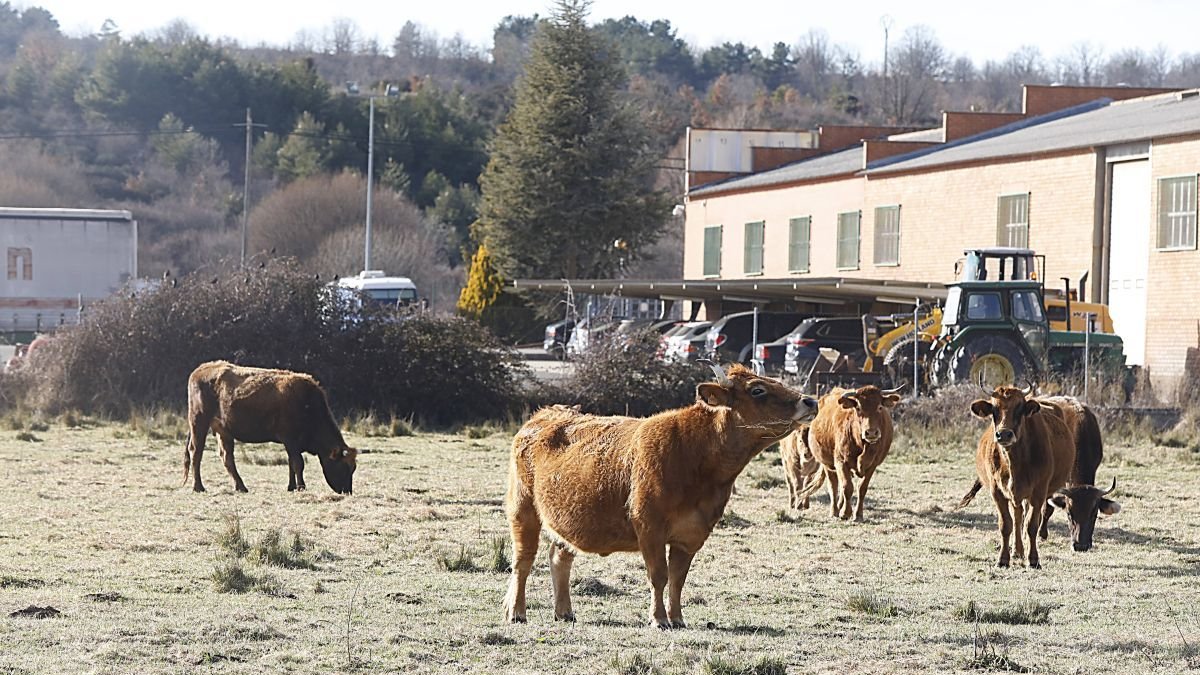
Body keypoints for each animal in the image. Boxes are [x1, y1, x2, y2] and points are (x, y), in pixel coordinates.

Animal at [183, 361, 357, 494]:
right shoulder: (290, 440)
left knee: (227, 458)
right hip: (199, 423)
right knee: (196, 453)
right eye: (343, 467)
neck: (307, 404)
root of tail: (201, 369)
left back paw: (241, 487)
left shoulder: (292, 444)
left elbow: (291, 464)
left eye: (353, 468)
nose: (347, 491)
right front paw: (301, 487)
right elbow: (298, 463)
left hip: (224, 431)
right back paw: (198, 487)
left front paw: (291, 487)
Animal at [502, 362, 817, 628]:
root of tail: (547, 414)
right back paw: (516, 611)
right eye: (757, 389)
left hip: (566, 520)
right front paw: (659, 618)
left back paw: (564, 612)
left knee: (559, 557)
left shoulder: (691, 534)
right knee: (523, 561)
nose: (810, 401)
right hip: (523, 510)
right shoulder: (649, 527)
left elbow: (677, 579)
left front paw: (676, 618)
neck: (696, 457)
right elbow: (659, 576)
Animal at [786, 385, 902, 521]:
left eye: (880, 407)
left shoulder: (872, 465)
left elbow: (862, 488)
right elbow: (847, 487)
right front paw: (846, 513)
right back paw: (835, 511)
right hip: (827, 464)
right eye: (858, 408)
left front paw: (858, 514)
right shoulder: (840, 461)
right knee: (834, 486)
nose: (871, 433)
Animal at [957, 384, 1074, 568]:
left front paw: (1033, 559)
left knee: (1023, 518)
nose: (1004, 434)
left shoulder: (1039, 492)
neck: (1014, 463)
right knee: (1017, 517)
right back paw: (1017, 551)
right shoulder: (997, 492)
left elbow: (1031, 525)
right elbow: (1006, 525)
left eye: (1019, 408)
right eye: (994, 409)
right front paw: (1003, 559)